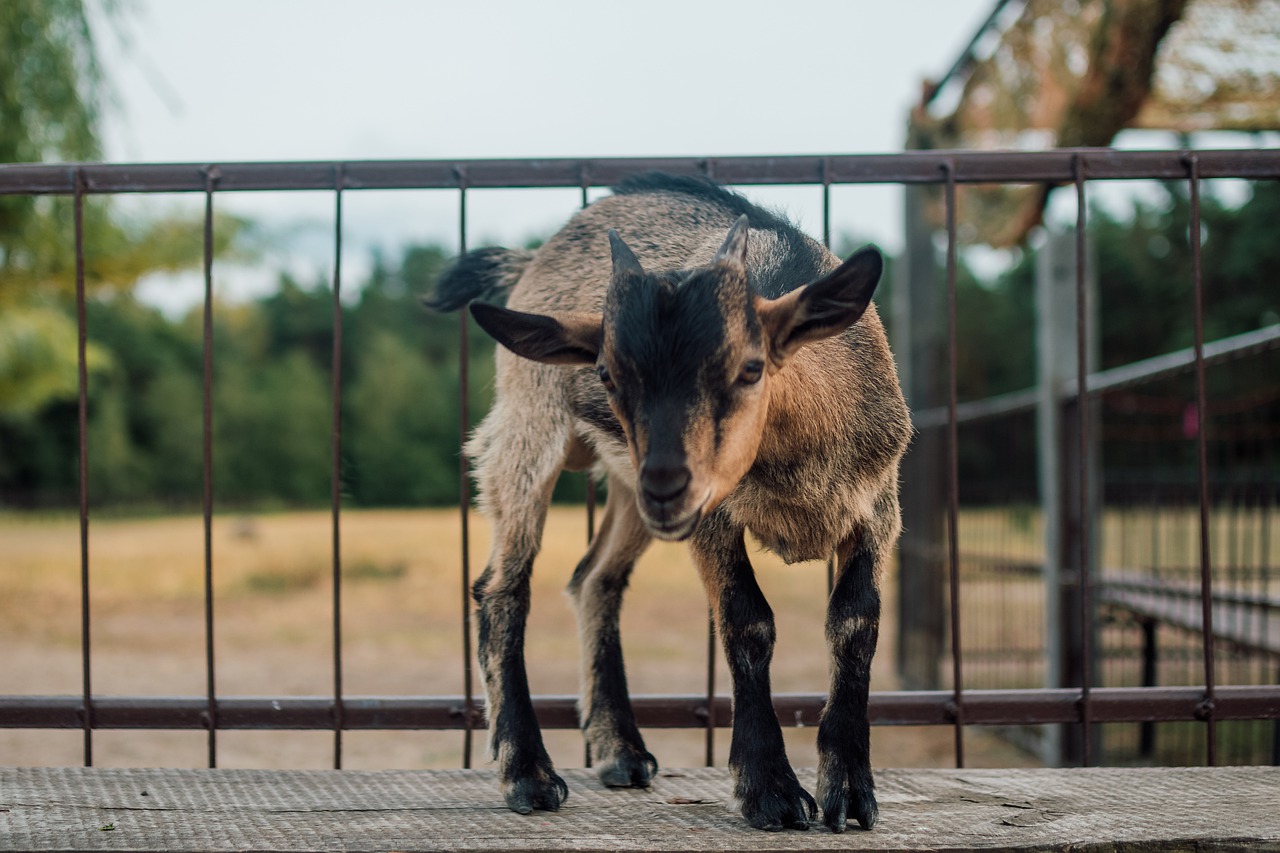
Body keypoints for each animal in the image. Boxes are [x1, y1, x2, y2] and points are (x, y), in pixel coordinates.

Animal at [430, 172, 911, 829]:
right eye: (608, 375)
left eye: (750, 368)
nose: (667, 483)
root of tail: (534, 259)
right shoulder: (714, 521)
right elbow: (748, 620)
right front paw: (771, 792)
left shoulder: (877, 508)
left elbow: (857, 623)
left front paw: (851, 794)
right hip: (528, 431)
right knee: (501, 588)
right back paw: (528, 774)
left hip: (625, 488)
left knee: (594, 579)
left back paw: (620, 751)